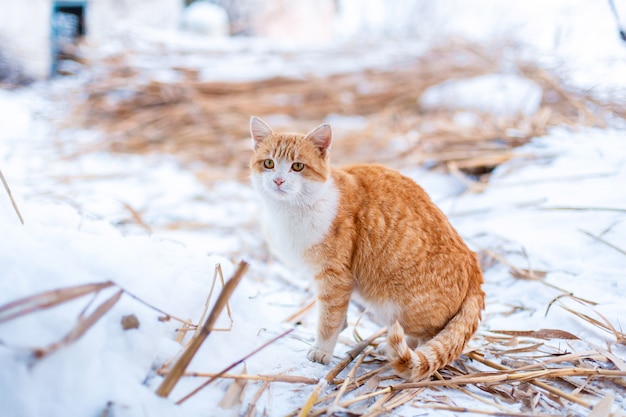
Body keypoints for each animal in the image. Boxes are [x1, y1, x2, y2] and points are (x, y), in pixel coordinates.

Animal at [247, 116, 482, 380]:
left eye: (297, 166)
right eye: (269, 163)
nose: (278, 180)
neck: (289, 210)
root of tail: (474, 265)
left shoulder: (335, 276)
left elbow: (328, 319)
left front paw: (321, 352)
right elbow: (338, 316)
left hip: (397, 307)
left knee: (428, 337)